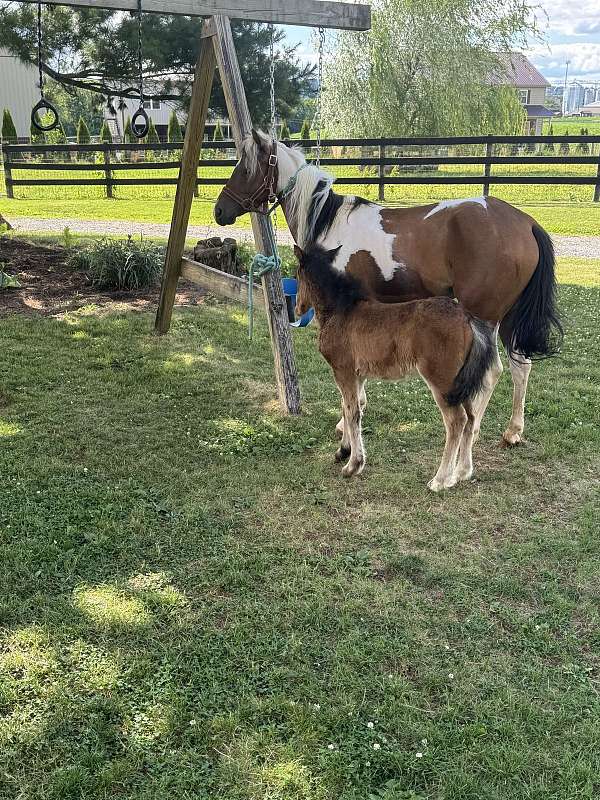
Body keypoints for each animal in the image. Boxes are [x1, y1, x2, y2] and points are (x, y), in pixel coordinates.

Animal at [214, 130, 562, 445]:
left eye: (245, 169)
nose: (219, 211)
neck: (329, 222)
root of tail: (525, 223)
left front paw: (346, 422)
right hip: (508, 319)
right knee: (521, 367)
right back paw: (513, 431)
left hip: (484, 318)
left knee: (491, 373)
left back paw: (472, 432)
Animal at [294, 244, 496, 491]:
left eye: (297, 275)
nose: (298, 308)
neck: (341, 311)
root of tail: (467, 318)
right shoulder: (358, 375)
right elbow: (350, 406)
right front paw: (344, 451)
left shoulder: (343, 371)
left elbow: (352, 412)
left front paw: (353, 465)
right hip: (460, 383)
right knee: (471, 417)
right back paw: (461, 472)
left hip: (442, 382)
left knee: (457, 421)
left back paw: (439, 480)